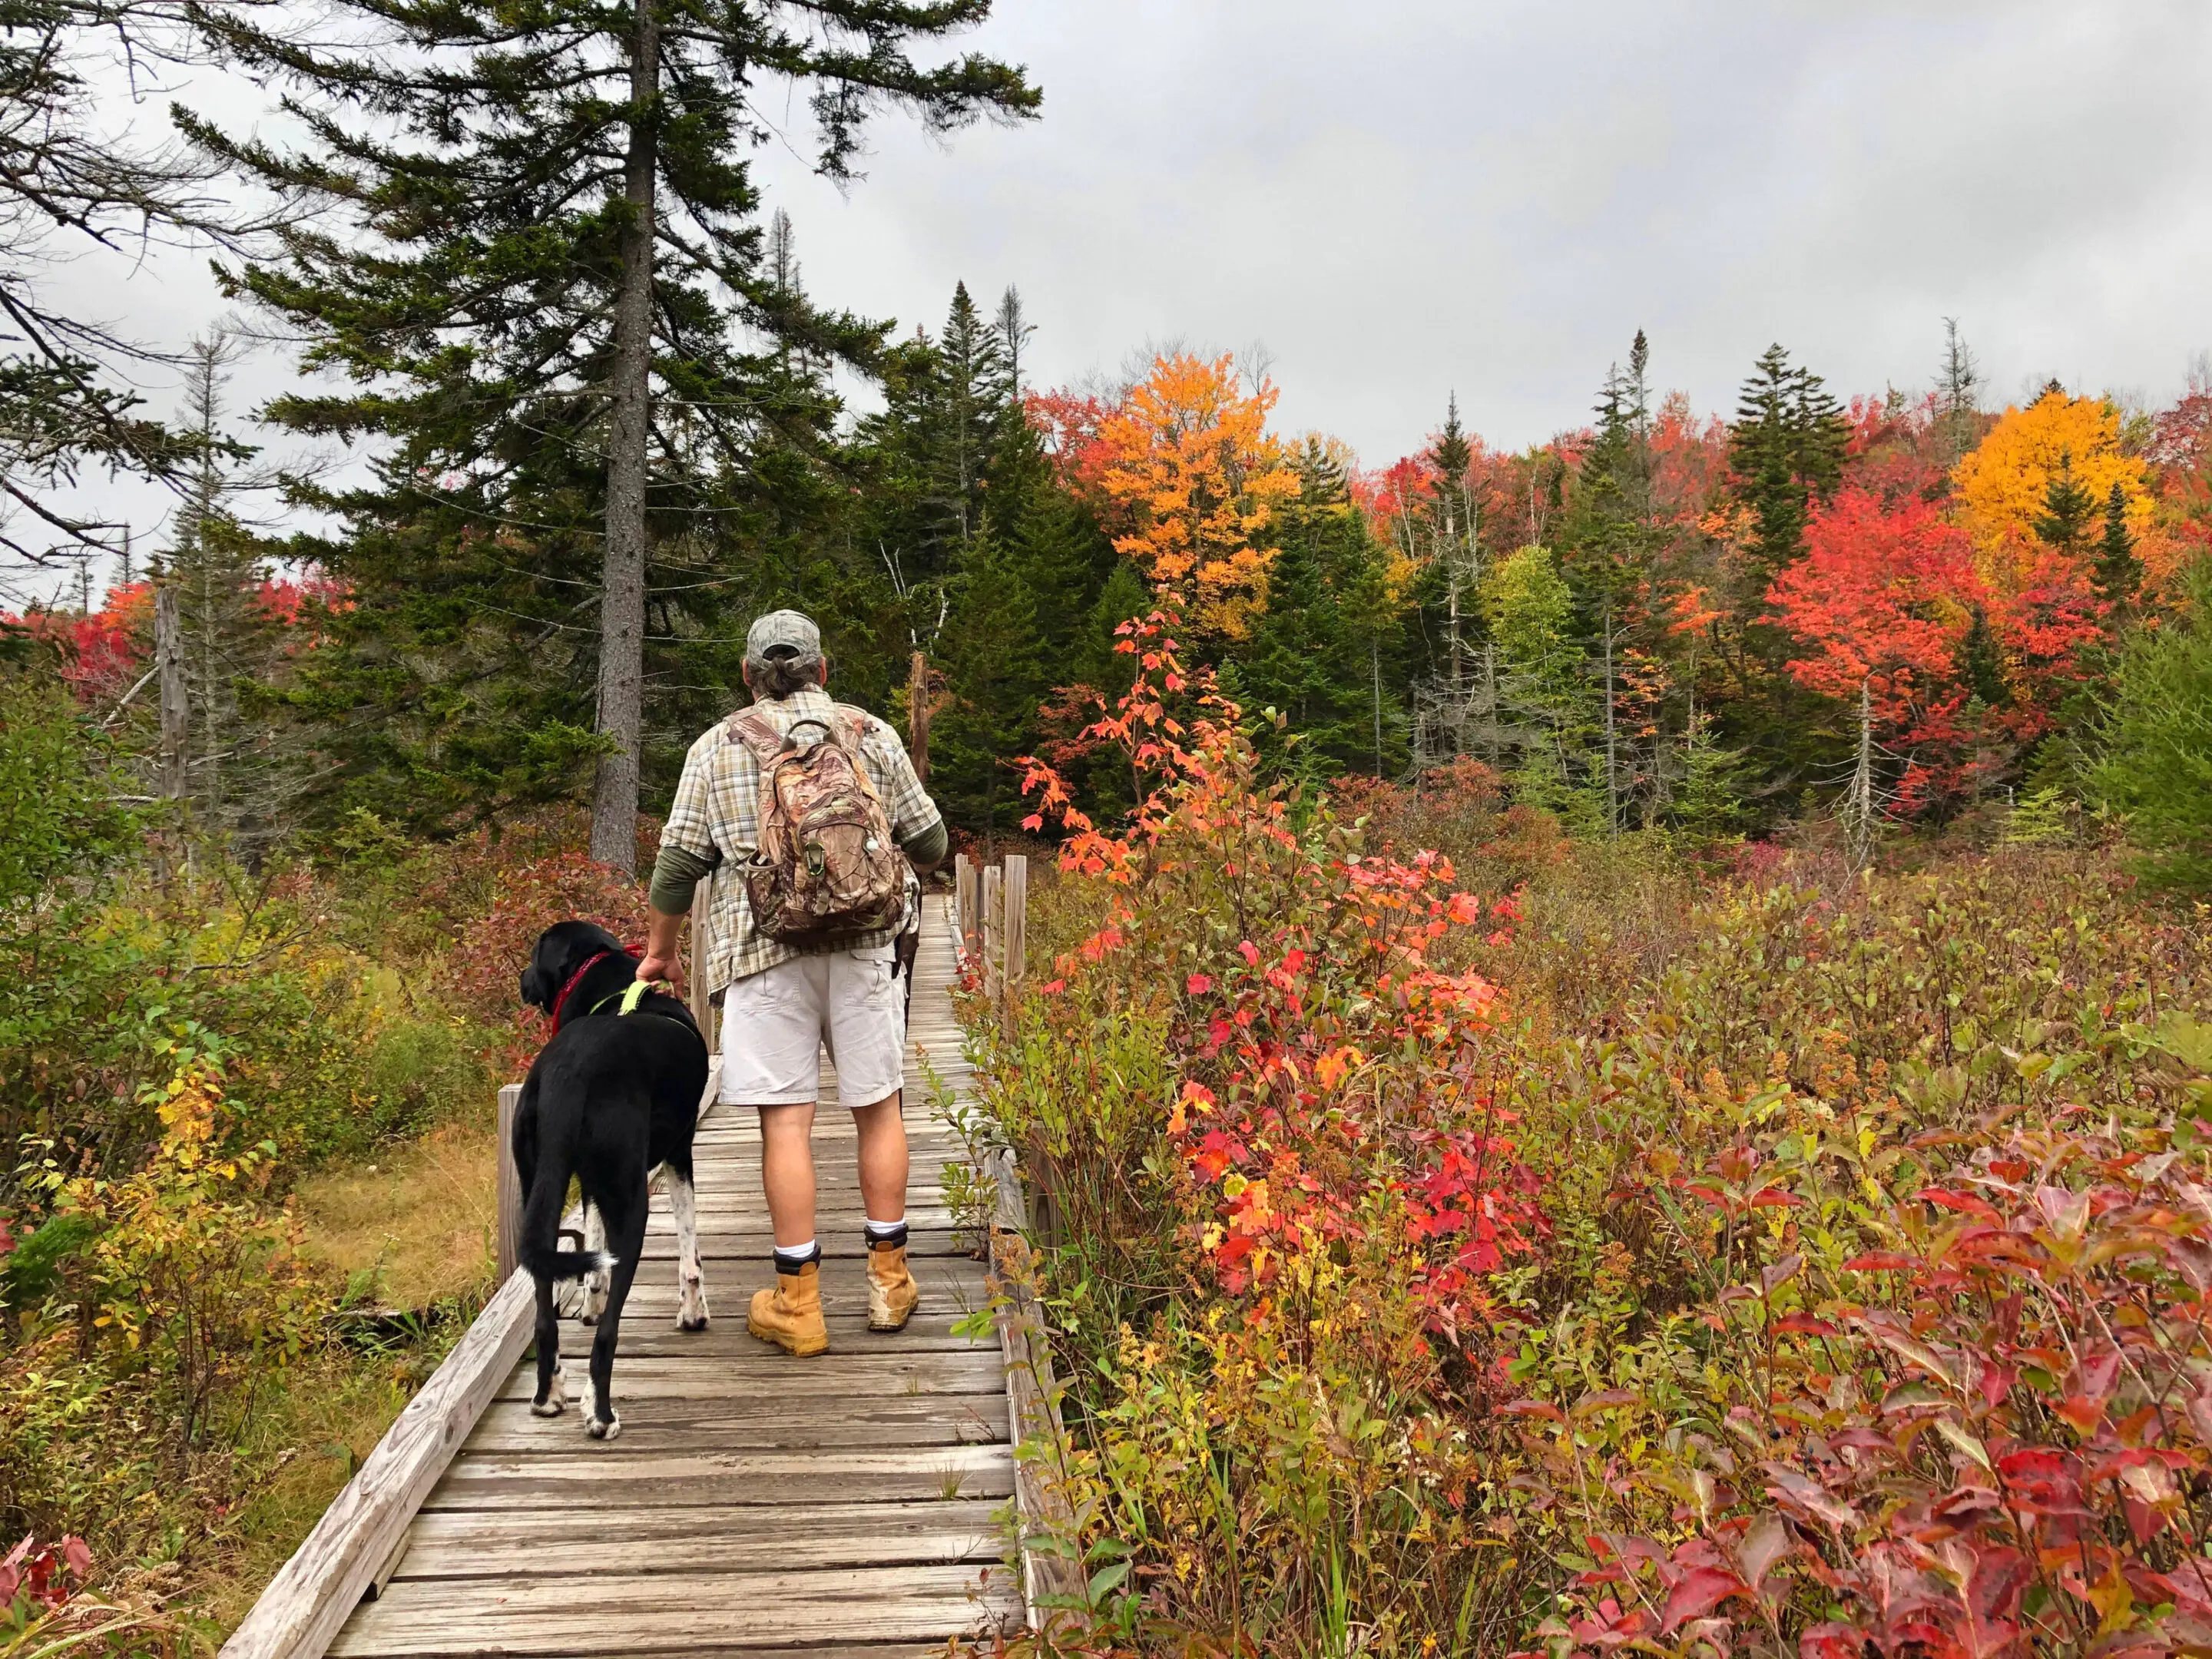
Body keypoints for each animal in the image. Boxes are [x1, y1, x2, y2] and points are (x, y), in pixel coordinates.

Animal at [515, 924, 707, 1442]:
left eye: (533, 955)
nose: (520, 980)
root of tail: (569, 1072)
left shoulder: (588, 1183)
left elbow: (592, 1235)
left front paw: (590, 1301)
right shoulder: (680, 1151)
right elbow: (689, 1251)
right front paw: (693, 1313)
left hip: (535, 1190)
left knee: (545, 1314)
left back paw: (548, 1396)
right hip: (633, 1202)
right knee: (606, 1339)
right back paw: (600, 1415)